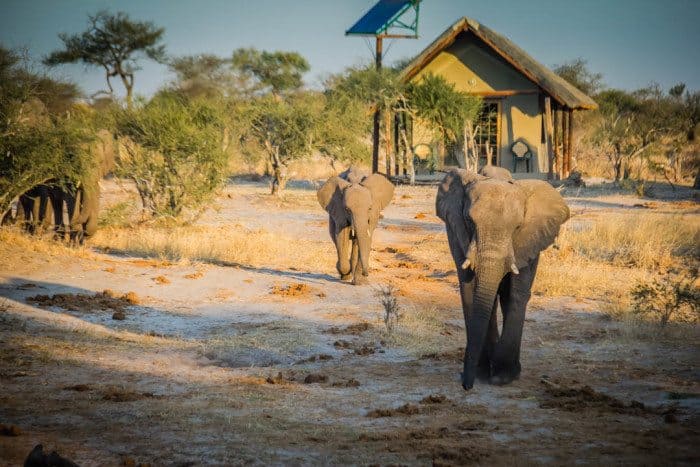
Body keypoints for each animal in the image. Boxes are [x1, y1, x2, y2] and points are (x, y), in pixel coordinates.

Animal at [436, 168, 569, 390]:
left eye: (517, 227)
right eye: (469, 221)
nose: (465, 385)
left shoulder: (529, 239)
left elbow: (517, 293)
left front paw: (502, 378)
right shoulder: (456, 231)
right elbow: (470, 290)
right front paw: (482, 375)